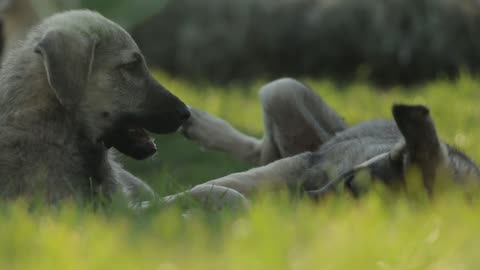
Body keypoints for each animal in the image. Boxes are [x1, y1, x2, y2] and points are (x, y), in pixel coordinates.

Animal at [170, 78, 480, 207]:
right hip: (283, 90)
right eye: (351, 182)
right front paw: (167, 202)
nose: (292, 202)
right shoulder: (308, 161)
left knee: (262, 154)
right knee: (260, 152)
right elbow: (227, 183)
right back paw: (198, 124)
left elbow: (228, 188)